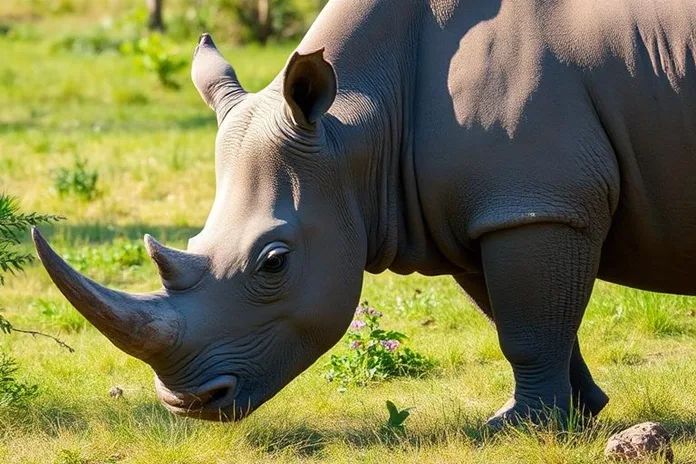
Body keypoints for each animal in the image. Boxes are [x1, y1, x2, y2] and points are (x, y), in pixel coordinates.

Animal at [33, 0, 696, 427]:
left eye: (273, 263)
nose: (186, 405)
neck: (359, 121)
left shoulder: (537, 205)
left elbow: (529, 330)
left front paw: (519, 429)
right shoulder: (492, 209)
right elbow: (529, 319)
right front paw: (576, 415)